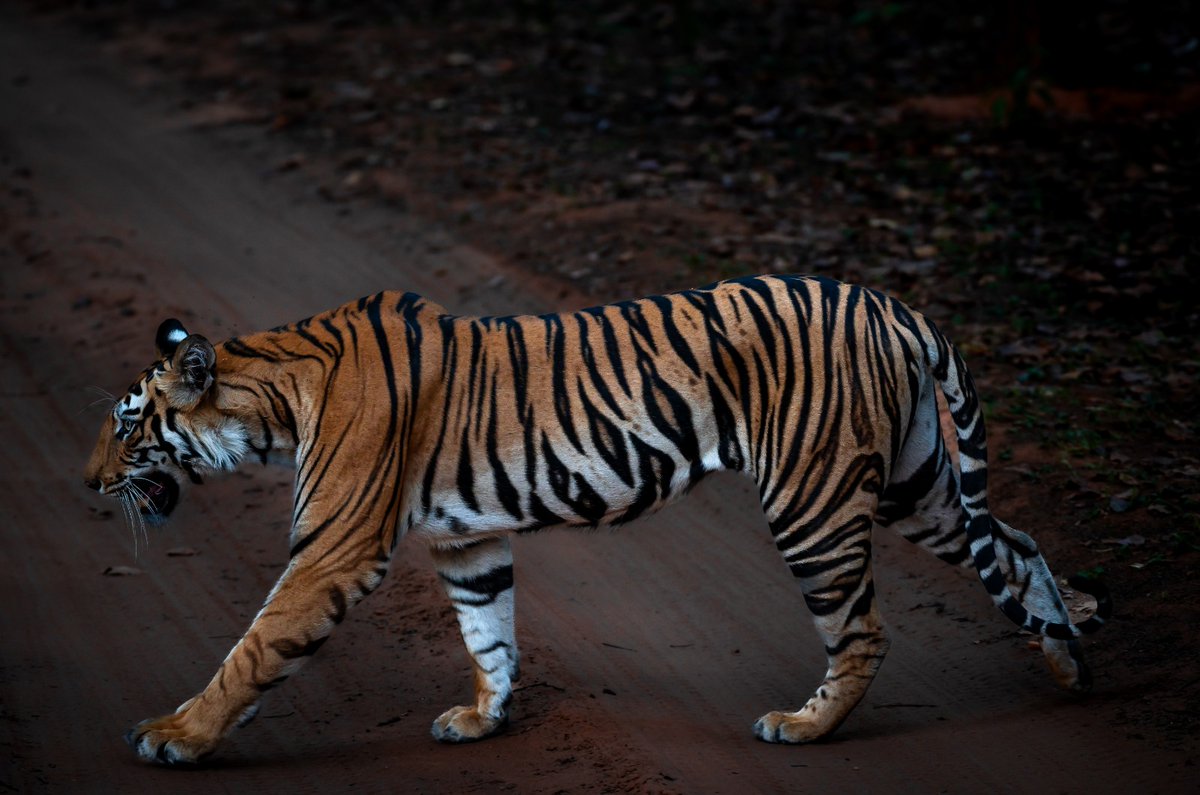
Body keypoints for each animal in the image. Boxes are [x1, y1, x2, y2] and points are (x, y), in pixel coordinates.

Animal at [83, 274, 1109, 765]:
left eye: (128, 425)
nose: (87, 483)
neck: (273, 394)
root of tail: (894, 304)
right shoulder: (467, 538)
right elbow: (490, 632)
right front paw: (483, 717)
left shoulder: (332, 550)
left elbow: (253, 649)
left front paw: (175, 736)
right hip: (916, 482)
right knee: (1018, 547)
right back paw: (1067, 665)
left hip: (814, 499)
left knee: (864, 629)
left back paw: (804, 726)